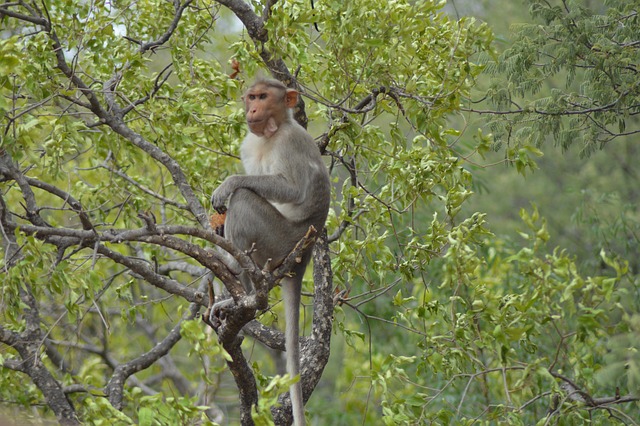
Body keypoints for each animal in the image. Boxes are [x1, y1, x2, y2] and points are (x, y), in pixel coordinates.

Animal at [211, 78, 330, 424]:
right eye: (251, 97)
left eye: (263, 97)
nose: (252, 109)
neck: (272, 133)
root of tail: (301, 259)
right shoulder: (249, 143)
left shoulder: (291, 143)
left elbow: (290, 188)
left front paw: (228, 183)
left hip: (277, 241)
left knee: (243, 199)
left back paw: (242, 283)